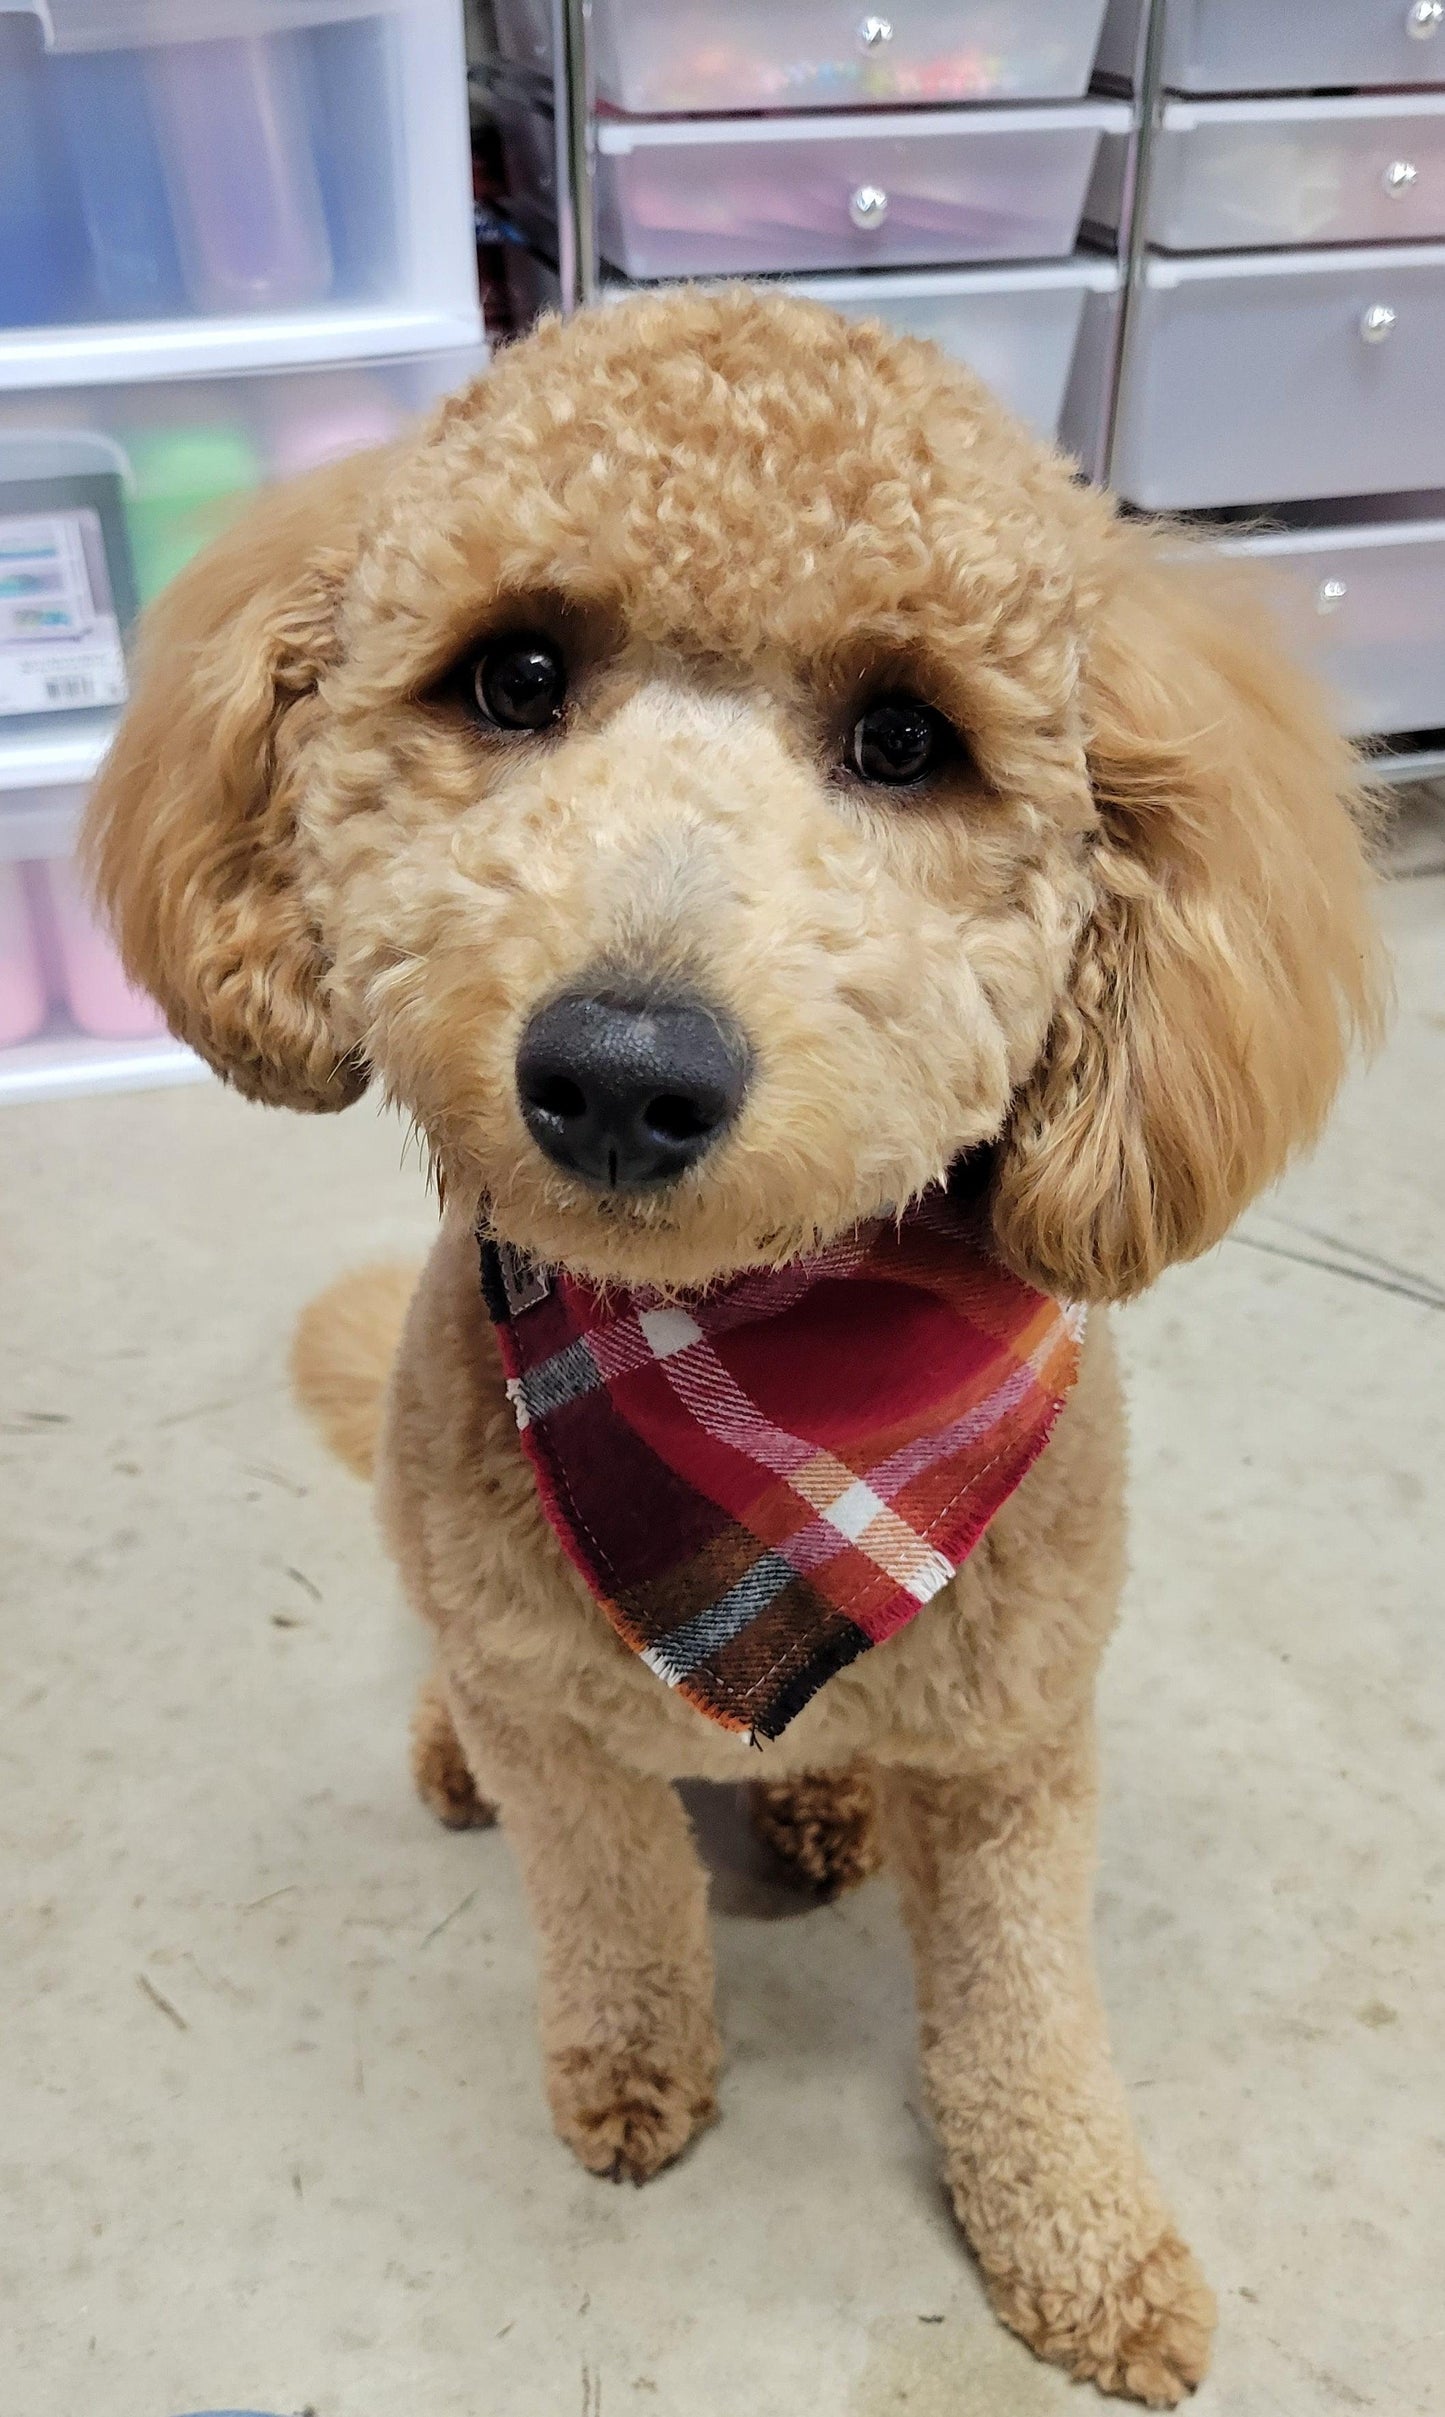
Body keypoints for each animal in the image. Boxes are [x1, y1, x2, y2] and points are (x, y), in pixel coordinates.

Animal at [85, 292, 1391, 2407]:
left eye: (906, 739)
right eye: (516, 674)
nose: (621, 1070)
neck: (770, 1413)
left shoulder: (1023, 1748)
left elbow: (1027, 2011)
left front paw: (1085, 2239)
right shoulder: (559, 1723)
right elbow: (615, 1903)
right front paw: (632, 2077)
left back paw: (826, 1797)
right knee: (458, 1685)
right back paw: (461, 1754)